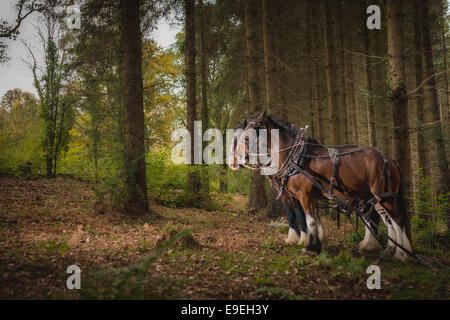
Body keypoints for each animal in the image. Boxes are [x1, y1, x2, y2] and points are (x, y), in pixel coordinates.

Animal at [232, 112, 412, 262]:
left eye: (249, 133)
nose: (236, 160)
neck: (295, 157)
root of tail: (389, 159)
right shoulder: (309, 197)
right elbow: (314, 220)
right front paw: (319, 244)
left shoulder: (303, 195)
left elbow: (308, 220)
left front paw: (310, 247)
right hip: (376, 198)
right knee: (387, 220)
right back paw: (388, 250)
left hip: (383, 196)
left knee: (397, 220)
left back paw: (401, 254)